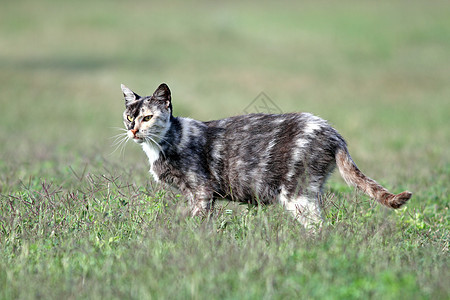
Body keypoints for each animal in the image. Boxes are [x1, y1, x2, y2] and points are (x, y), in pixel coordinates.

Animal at [118, 83, 412, 229]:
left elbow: (197, 221)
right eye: (129, 117)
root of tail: (333, 132)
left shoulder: (201, 191)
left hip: (297, 195)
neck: (164, 142)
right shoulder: (192, 194)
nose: (133, 130)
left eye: (147, 117)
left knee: (320, 229)